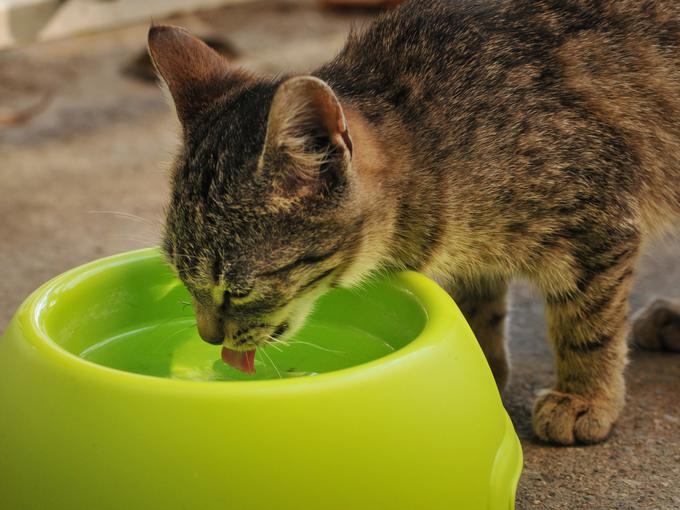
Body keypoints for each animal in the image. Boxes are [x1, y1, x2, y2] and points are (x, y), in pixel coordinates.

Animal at [149, 0, 680, 444]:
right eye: (180, 275)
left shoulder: (599, 220)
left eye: (237, 290)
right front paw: (479, 365)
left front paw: (584, 396)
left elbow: (587, 323)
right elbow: (476, 305)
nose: (207, 336)